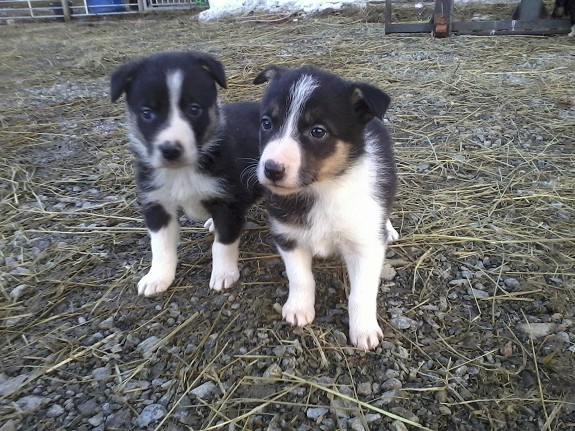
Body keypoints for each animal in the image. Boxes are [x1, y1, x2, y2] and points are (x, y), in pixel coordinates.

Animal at [111, 51, 264, 296]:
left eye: (194, 109)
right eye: (147, 113)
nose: (171, 149)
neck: (182, 171)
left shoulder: (227, 201)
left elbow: (223, 243)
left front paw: (224, 274)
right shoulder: (156, 202)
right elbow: (160, 245)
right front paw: (157, 277)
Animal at [254, 66, 398, 352]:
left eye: (318, 131)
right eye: (266, 123)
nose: (272, 169)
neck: (322, 191)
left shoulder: (365, 245)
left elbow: (361, 293)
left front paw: (364, 330)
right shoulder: (287, 236)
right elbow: (299, 277)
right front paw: (299, 308)